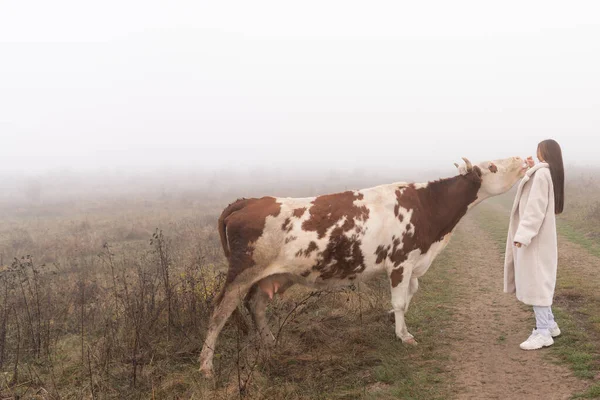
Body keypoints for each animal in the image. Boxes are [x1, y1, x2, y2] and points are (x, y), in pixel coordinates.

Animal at [198, 155, 524, 376]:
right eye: (493, 167)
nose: (523, 159)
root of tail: (248, 201)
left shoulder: (415, 262)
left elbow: (408, 297)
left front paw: (393, 322)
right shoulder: (401, 261)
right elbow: (401, 301)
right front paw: (404, 336)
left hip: (271, 275)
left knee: (256, 305)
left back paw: (269, 343)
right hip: (241, 272)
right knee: (219, 311)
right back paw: (205, 367)